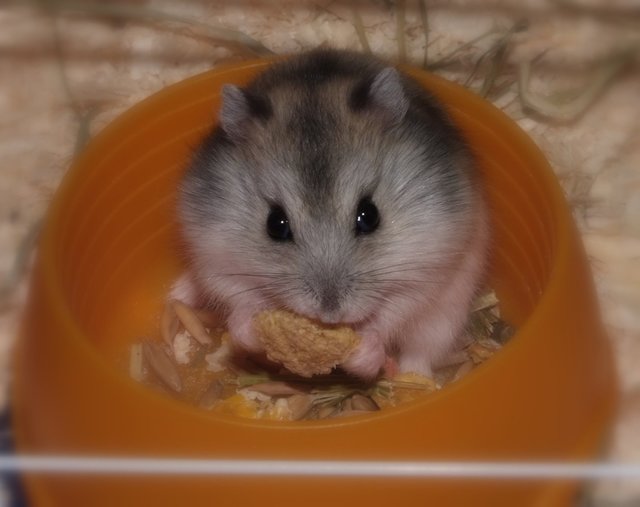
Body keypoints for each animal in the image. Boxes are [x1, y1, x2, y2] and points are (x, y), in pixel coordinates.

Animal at [173, 48, 490, 380]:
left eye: (369, 215)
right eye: (275, 224)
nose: (329, 313)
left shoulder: (427, 270)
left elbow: (391, 313)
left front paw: (362, 356)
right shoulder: (215, 260)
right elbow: (239, 299)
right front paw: (250, 332)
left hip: (444, 319)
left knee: (421, 354)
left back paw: (411, 377)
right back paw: (177, 295)